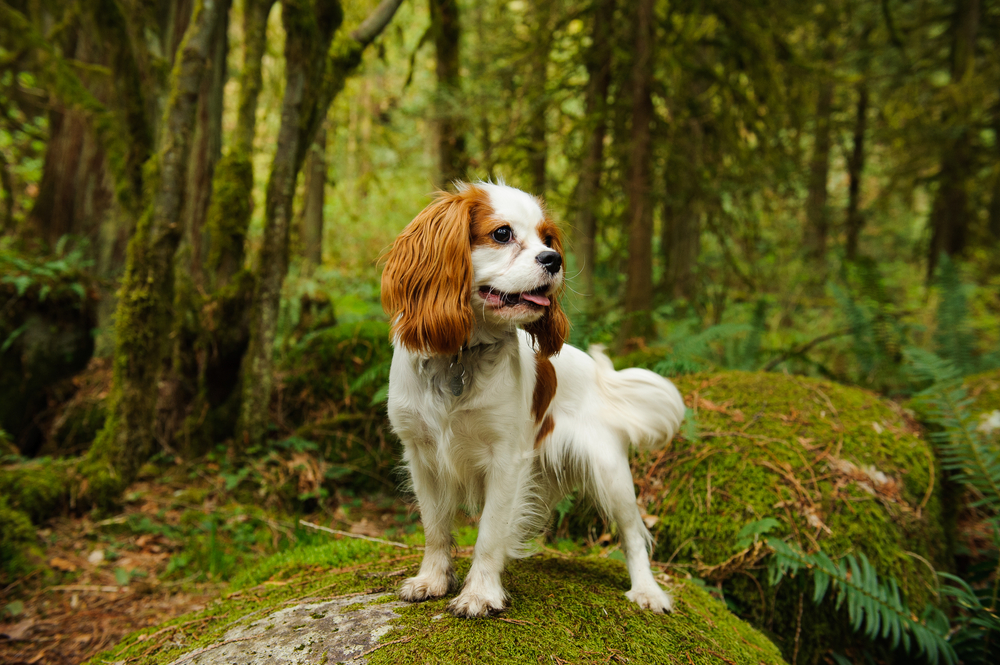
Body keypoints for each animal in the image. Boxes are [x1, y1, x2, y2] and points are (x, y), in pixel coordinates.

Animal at [378, 180, 684, 616]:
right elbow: (435, 527)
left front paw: (479, 593)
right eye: (502, 233)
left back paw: (647, 591)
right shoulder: (422, 456)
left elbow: (489, 533)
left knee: (633, 535)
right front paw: (433, 580)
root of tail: (597, 374)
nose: (554, 259)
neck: (460, 356)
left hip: (611, 474)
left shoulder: (505, 459)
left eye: (547, 239)